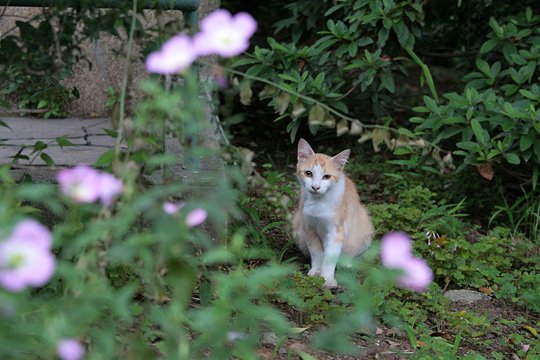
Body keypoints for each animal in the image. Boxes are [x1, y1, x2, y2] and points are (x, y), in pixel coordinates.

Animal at [294, 138, 374, 286]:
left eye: (326, 176)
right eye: (308, 173)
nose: (315, 187)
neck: (318, 203)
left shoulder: (336, 232)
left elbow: (330, 257)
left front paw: (328, 279)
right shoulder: (309, 228)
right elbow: (316, 252)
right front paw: (316, 271)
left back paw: (347, 263)